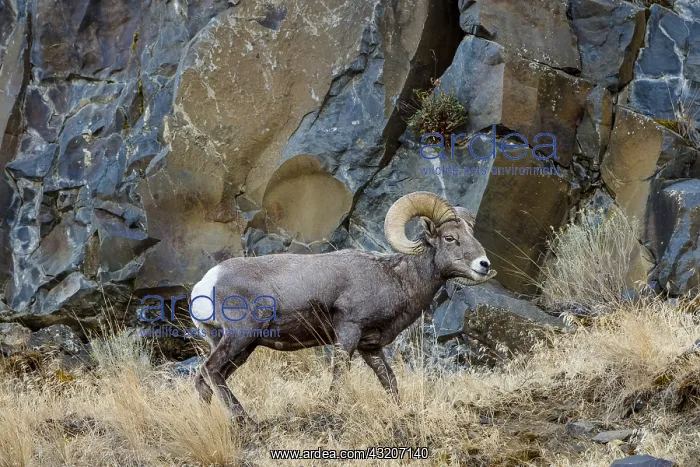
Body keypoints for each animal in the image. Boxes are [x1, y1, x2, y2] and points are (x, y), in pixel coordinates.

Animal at [190, 191, 496, 420]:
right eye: (450, 238)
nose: (483, 265)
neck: (395, 277)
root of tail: (206, 284)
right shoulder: (348, 331)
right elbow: (339, 375)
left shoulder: (370, 347)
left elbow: (389, 381)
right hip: (241, 337)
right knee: (210, 371)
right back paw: (244, 420)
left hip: (239, 346)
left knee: (206, 379)